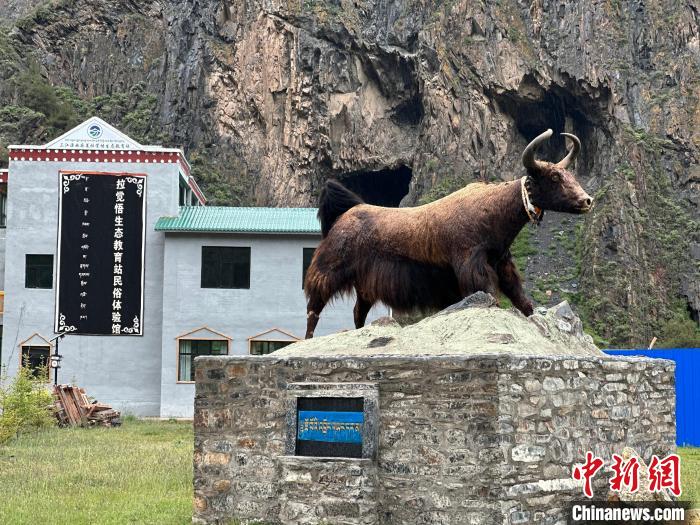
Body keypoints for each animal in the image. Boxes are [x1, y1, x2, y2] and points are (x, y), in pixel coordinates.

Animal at [303, 129, 593, 338]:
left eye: (568, 174)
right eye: (554, 178)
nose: (587, 200)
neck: (491, 211)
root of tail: (346, 212)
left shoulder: (503, 265)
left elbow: (521, 300)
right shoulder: (473, 268)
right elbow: (491, 296)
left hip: (364, 285)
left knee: (358, 311)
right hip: (328, 271)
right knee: (314, 309)